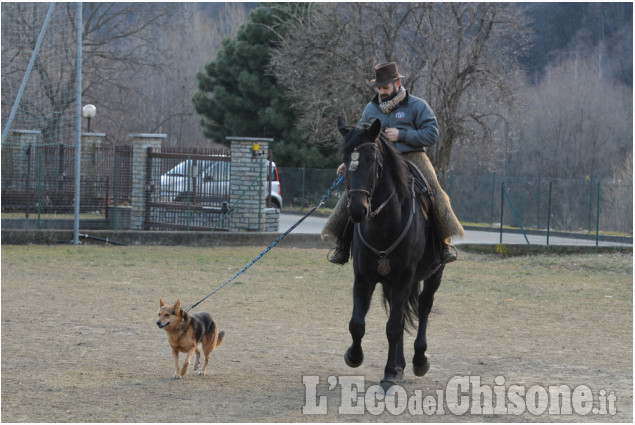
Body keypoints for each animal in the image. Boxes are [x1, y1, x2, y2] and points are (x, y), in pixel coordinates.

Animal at [338, 117, 442, 390]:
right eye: (344, 158)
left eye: (372, 159)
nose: (357, 210)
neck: (384, 224)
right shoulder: (363, 278)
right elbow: (357, 324)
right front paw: (354, 356)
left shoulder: (405, 278)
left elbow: (393, 327)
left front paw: (387, 374)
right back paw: (400, 365)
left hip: (434, 274)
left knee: (424, 307)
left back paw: (417, 360)